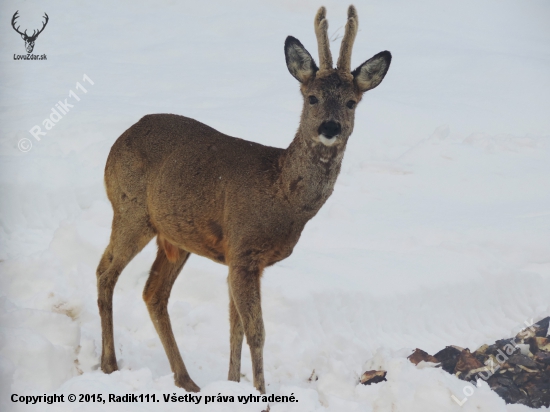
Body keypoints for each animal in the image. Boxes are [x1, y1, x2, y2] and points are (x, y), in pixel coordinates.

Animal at [98, 4, 392, 394]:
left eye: (351, 102)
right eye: (311, 97)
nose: (330, 127)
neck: (282, 194)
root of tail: (118, 141)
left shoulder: (244, 259)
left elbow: (235, 327)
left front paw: (232, 383)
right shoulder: (243, 249)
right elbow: (256, 332)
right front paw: (260, 393)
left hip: (176, 235)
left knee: (152, 292)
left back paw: (186, 380)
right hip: (130, 209)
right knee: (106, 273)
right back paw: (109, 366)